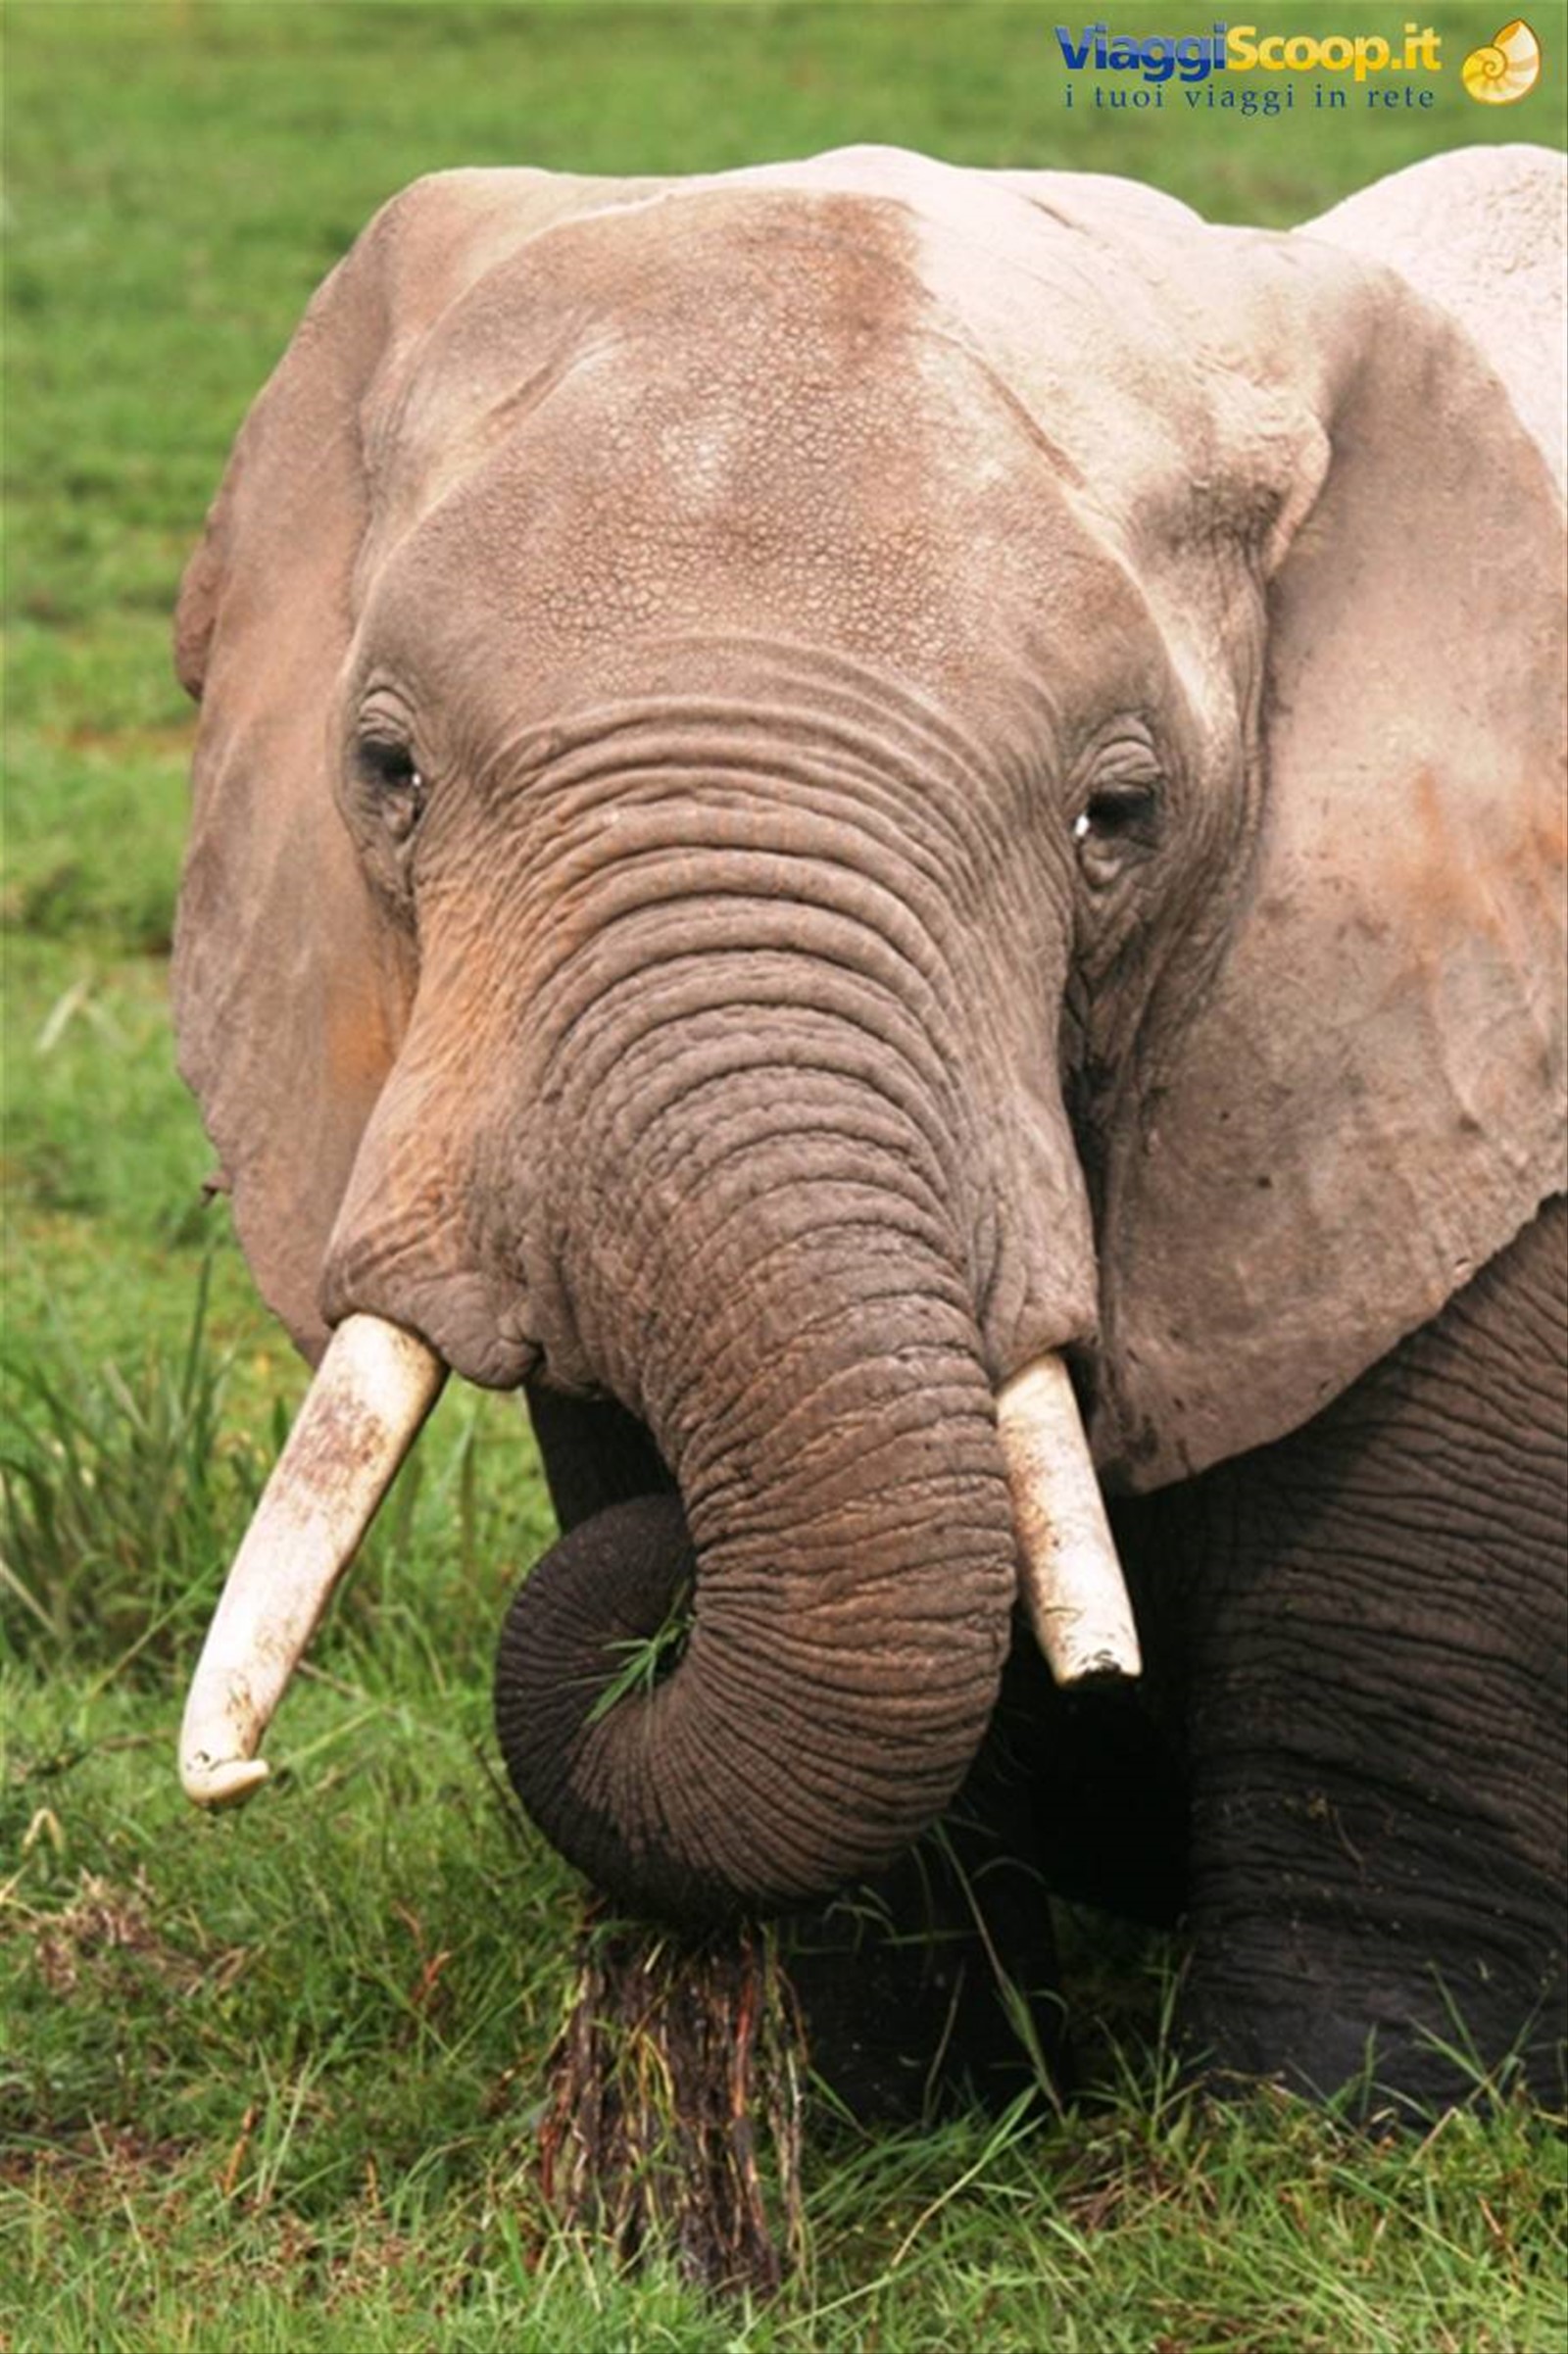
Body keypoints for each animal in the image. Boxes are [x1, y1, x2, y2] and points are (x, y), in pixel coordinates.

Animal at [172, 143, 1565, 2115]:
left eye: (1117, 815)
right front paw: (870, 2108)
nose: (662, 1596)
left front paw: (1338, 2126)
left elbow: (1390, 1661)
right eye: (387, 773)